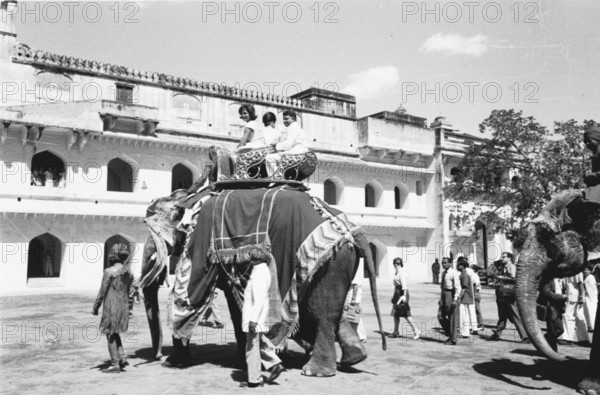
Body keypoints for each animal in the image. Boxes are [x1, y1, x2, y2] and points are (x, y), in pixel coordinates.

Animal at [141, 185, 386, 378]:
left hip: (330, 263)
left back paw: (314, 371)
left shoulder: (201, 247)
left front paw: (174, 363)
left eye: (157, 240)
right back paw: (353, 359)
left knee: (322, 311)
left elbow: (191, 297)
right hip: (338, 263)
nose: (157, 356)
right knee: (328, 309)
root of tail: (349, 230)